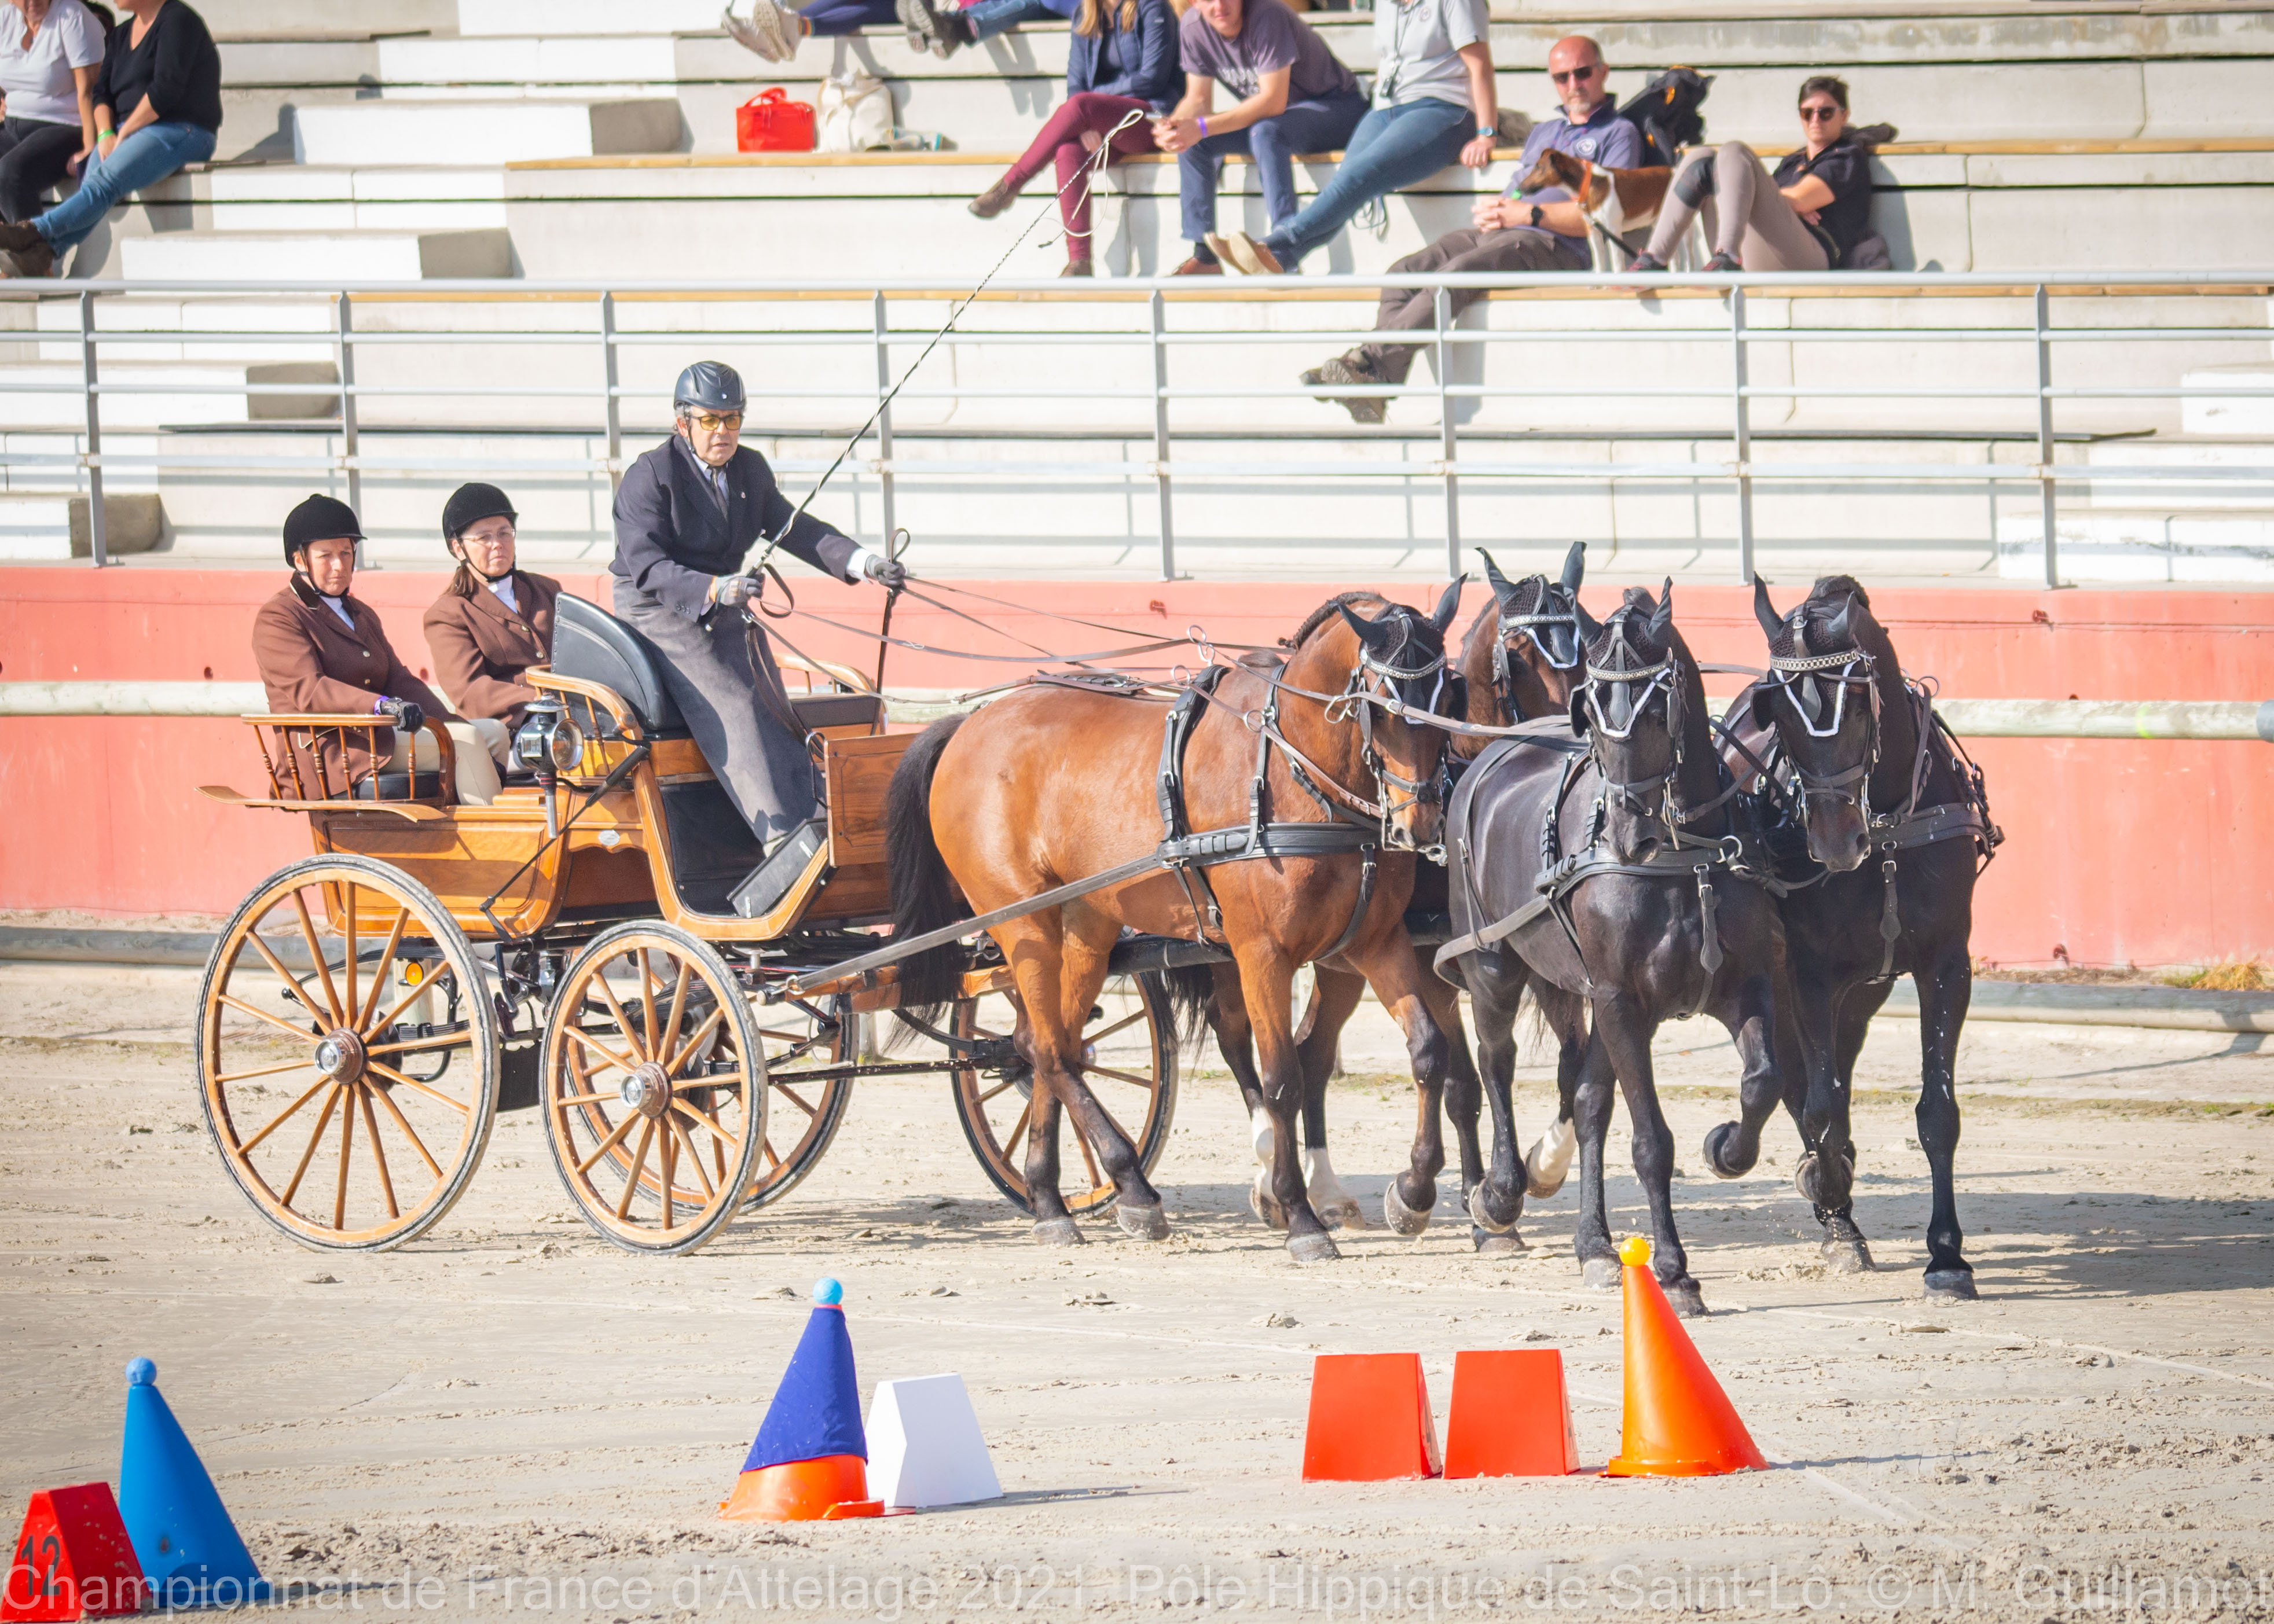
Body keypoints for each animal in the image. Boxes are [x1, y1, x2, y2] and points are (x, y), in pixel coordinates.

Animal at [885, 585, 1469, 1262]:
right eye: (1380, 704)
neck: (1294, 774)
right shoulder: (1261, 954)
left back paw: (1053, 1200)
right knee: (1050, 1051)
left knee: (1046, 1045)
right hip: (1025, 925)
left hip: (1085, 928)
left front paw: (1414, 1192)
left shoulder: (1375, 942)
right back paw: (1129, 1184)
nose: (1420, 823)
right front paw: (1300, 1216)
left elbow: (1429, 1051)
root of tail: (968, 725)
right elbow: (1282, 1080)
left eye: (1449, 697)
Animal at [1200, 545, 1592, 1248]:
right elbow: (1463, 1077)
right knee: (1243, 1043)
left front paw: (1505, 1189)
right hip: (1239, 953)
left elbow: (1545, 1063)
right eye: (1518, 653)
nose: (1572, 732)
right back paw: (1273, 1180)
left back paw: (1324, 1189)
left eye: (1589, 636)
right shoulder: (1441, 967)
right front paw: (1449, 1193)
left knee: (1309, 1052)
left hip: (1338, 958)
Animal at [1437, 584, 1785, 1314]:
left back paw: (1593, 1244)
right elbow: (1651, 1140)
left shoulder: (1744, 985)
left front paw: (1727, 1147)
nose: (1629, 832)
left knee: (1589, 1099)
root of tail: (1487, 759)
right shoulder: (1623, 1001)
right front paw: (1675, 1270)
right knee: (1494, 1062)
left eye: (1656, 705)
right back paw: (1500, 1192)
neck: (1684, 860)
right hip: (1491, 964)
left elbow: (1761, 1082)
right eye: (1593, 706)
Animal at [1703, 577, 2001, 1301]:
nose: (1835, 843)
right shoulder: (1810, 974)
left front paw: (1947, 1254)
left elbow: (1936, 1112)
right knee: (1803, 1085)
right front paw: (1829, 1189)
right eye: (1777, 719)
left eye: (1862, 706)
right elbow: (1820, 1106)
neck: (1888, 826)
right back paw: (1831, 1198)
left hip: (1864, 992)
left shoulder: (1945, 963)